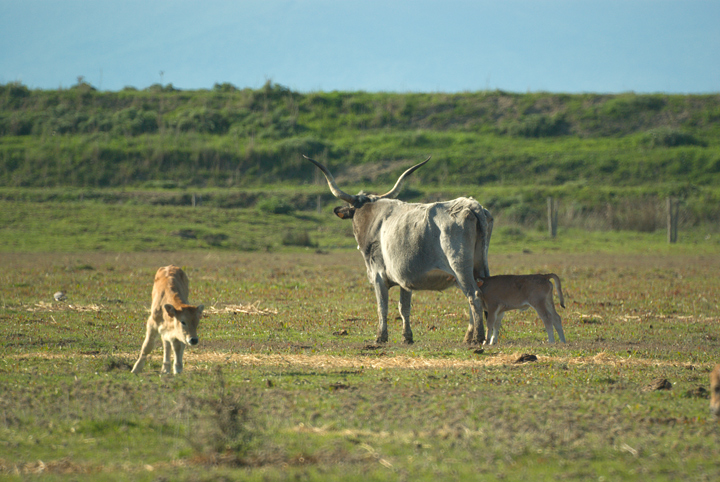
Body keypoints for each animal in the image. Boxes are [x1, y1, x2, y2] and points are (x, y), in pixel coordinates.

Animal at [306, 156, 492, 344]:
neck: (372, 217)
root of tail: (472, 205)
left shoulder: (378, 275)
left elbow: (382, 306)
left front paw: (380, 336)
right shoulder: (405, 277)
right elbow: (404, 307)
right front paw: (407, 337)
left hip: (460, 268)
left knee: (474, 296)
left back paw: (477, 337)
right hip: (478, 268)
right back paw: (470, 336)